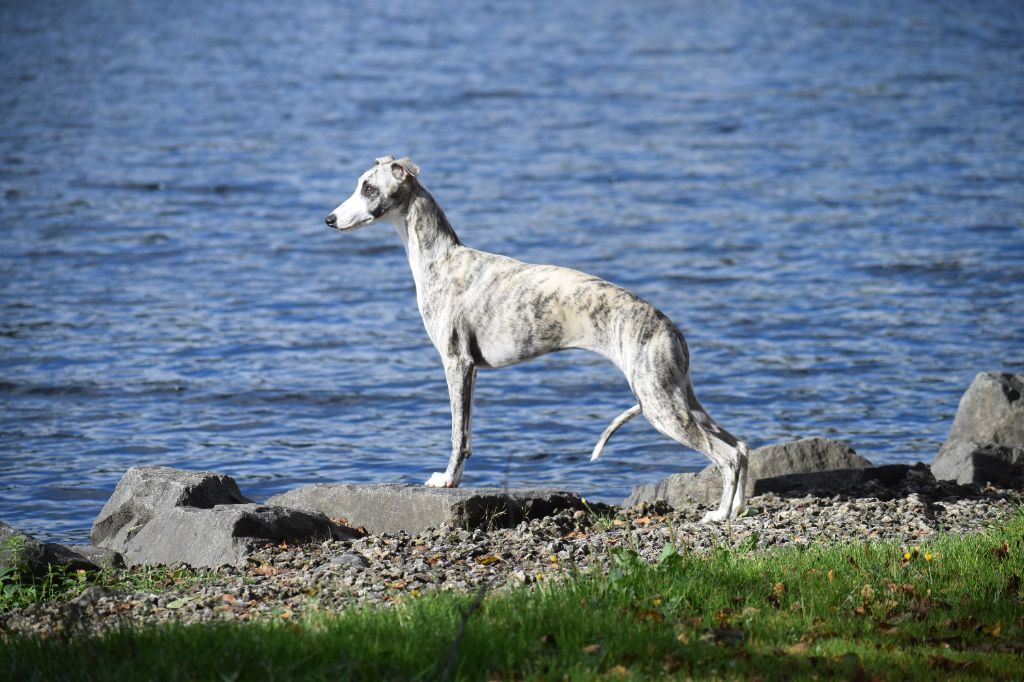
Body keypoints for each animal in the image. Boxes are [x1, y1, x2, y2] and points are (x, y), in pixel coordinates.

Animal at [323, 153, 749, 518]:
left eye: (368, 188)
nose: (329, 219)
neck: (442, 259)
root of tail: (670, 328)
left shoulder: (456, 363)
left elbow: (459, 435)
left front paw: (447, 480)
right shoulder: (470, 370)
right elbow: (467, 433)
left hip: (660, 403)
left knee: (726, 455)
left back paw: (718, 515)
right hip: (678, 395)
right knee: (741, 447)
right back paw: (737, 509)